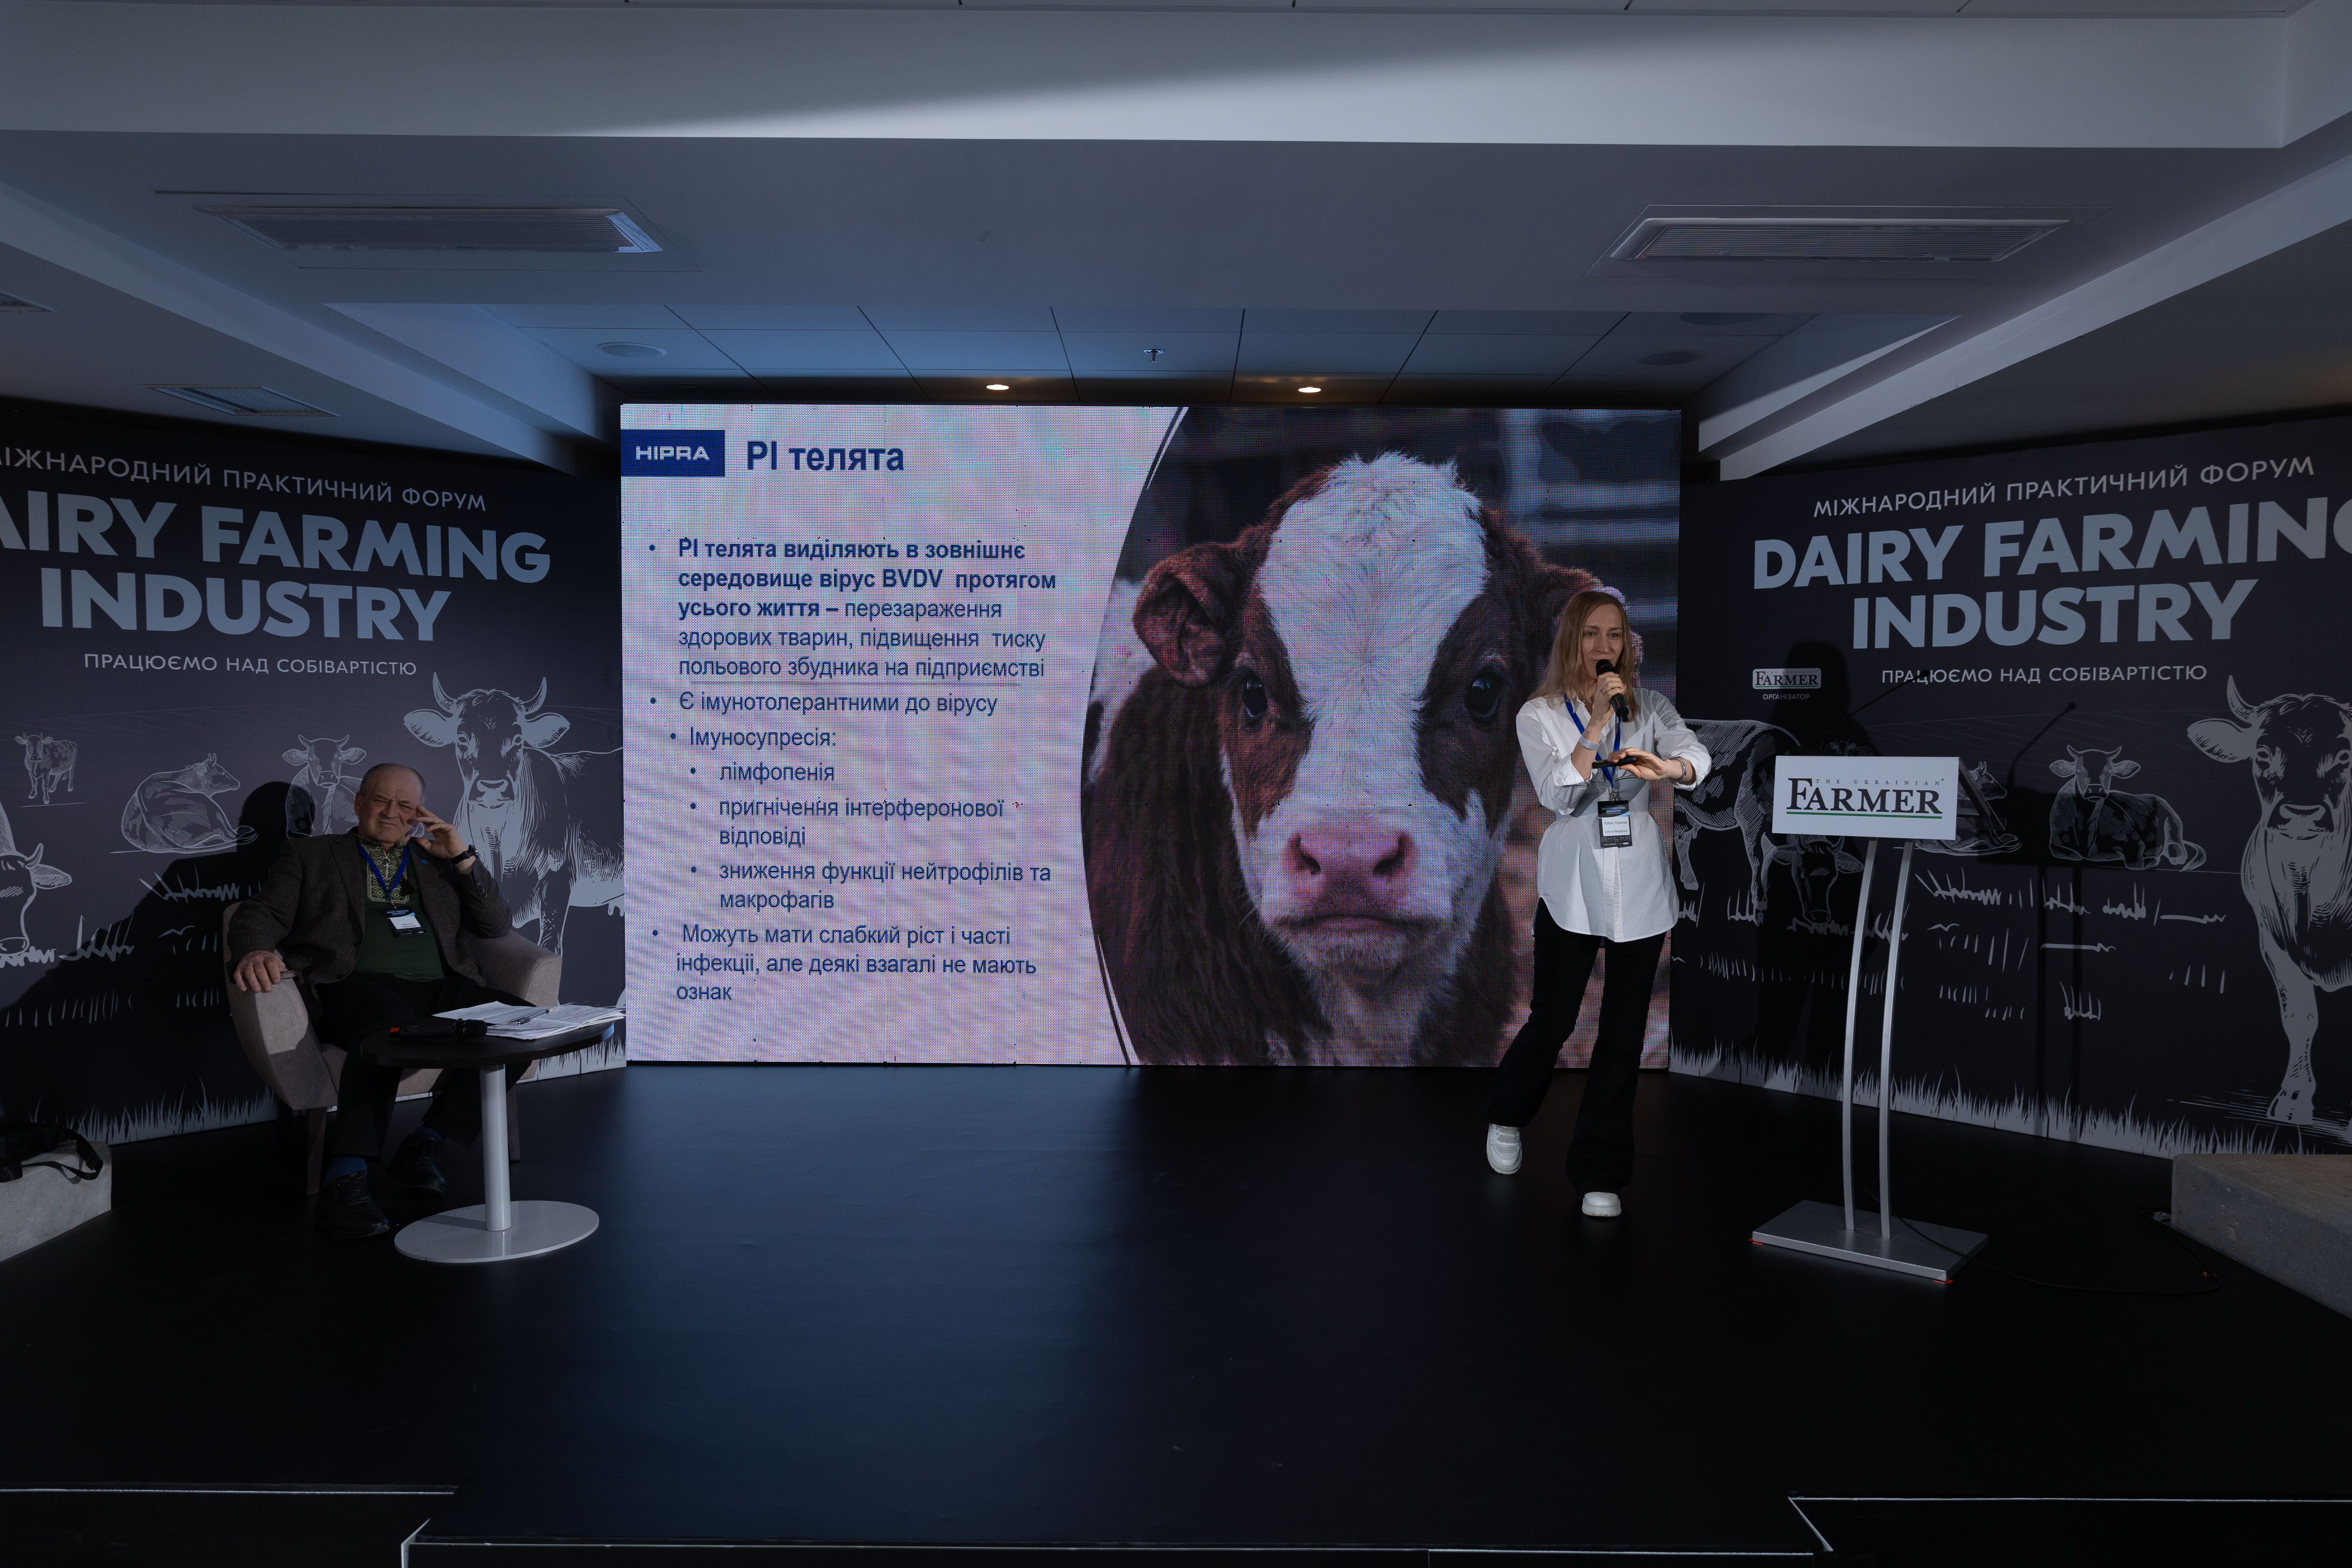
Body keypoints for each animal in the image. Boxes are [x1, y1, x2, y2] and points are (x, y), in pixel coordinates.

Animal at [16, 733, 75, 806]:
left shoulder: (47, 772)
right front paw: (33, 794)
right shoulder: (30, 772)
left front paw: (46, 800)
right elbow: (34, 783)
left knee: (71, 775)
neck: (35, 767)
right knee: (58, 776)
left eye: (41, 744)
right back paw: (53, 788)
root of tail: (69, 742)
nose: (35, 758)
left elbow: (45, 786)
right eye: (27, 744)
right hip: (60, 766)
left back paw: (70, 788)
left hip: (73, 764)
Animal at [404, 677, 624, 956]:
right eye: (462, 738)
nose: (492, 786)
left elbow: (551, 945)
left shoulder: (557, 878)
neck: (496, 837)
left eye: (518, 739)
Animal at [2048, 745, 2205, 871]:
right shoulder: (2055, 841)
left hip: (2173, 824)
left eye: (2110, 772)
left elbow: (2136, 863)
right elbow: (2064, 852)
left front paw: (2152, 860)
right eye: (2078, 771)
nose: (2096, 789)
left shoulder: (2134, 842)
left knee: (2176, 847)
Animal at [2188, 679, 2352, 1125]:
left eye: (2345, 755)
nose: (2301, 813)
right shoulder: (2274, 943)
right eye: (2263, 753)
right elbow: (2300, 1018)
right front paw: (2294, 1098)